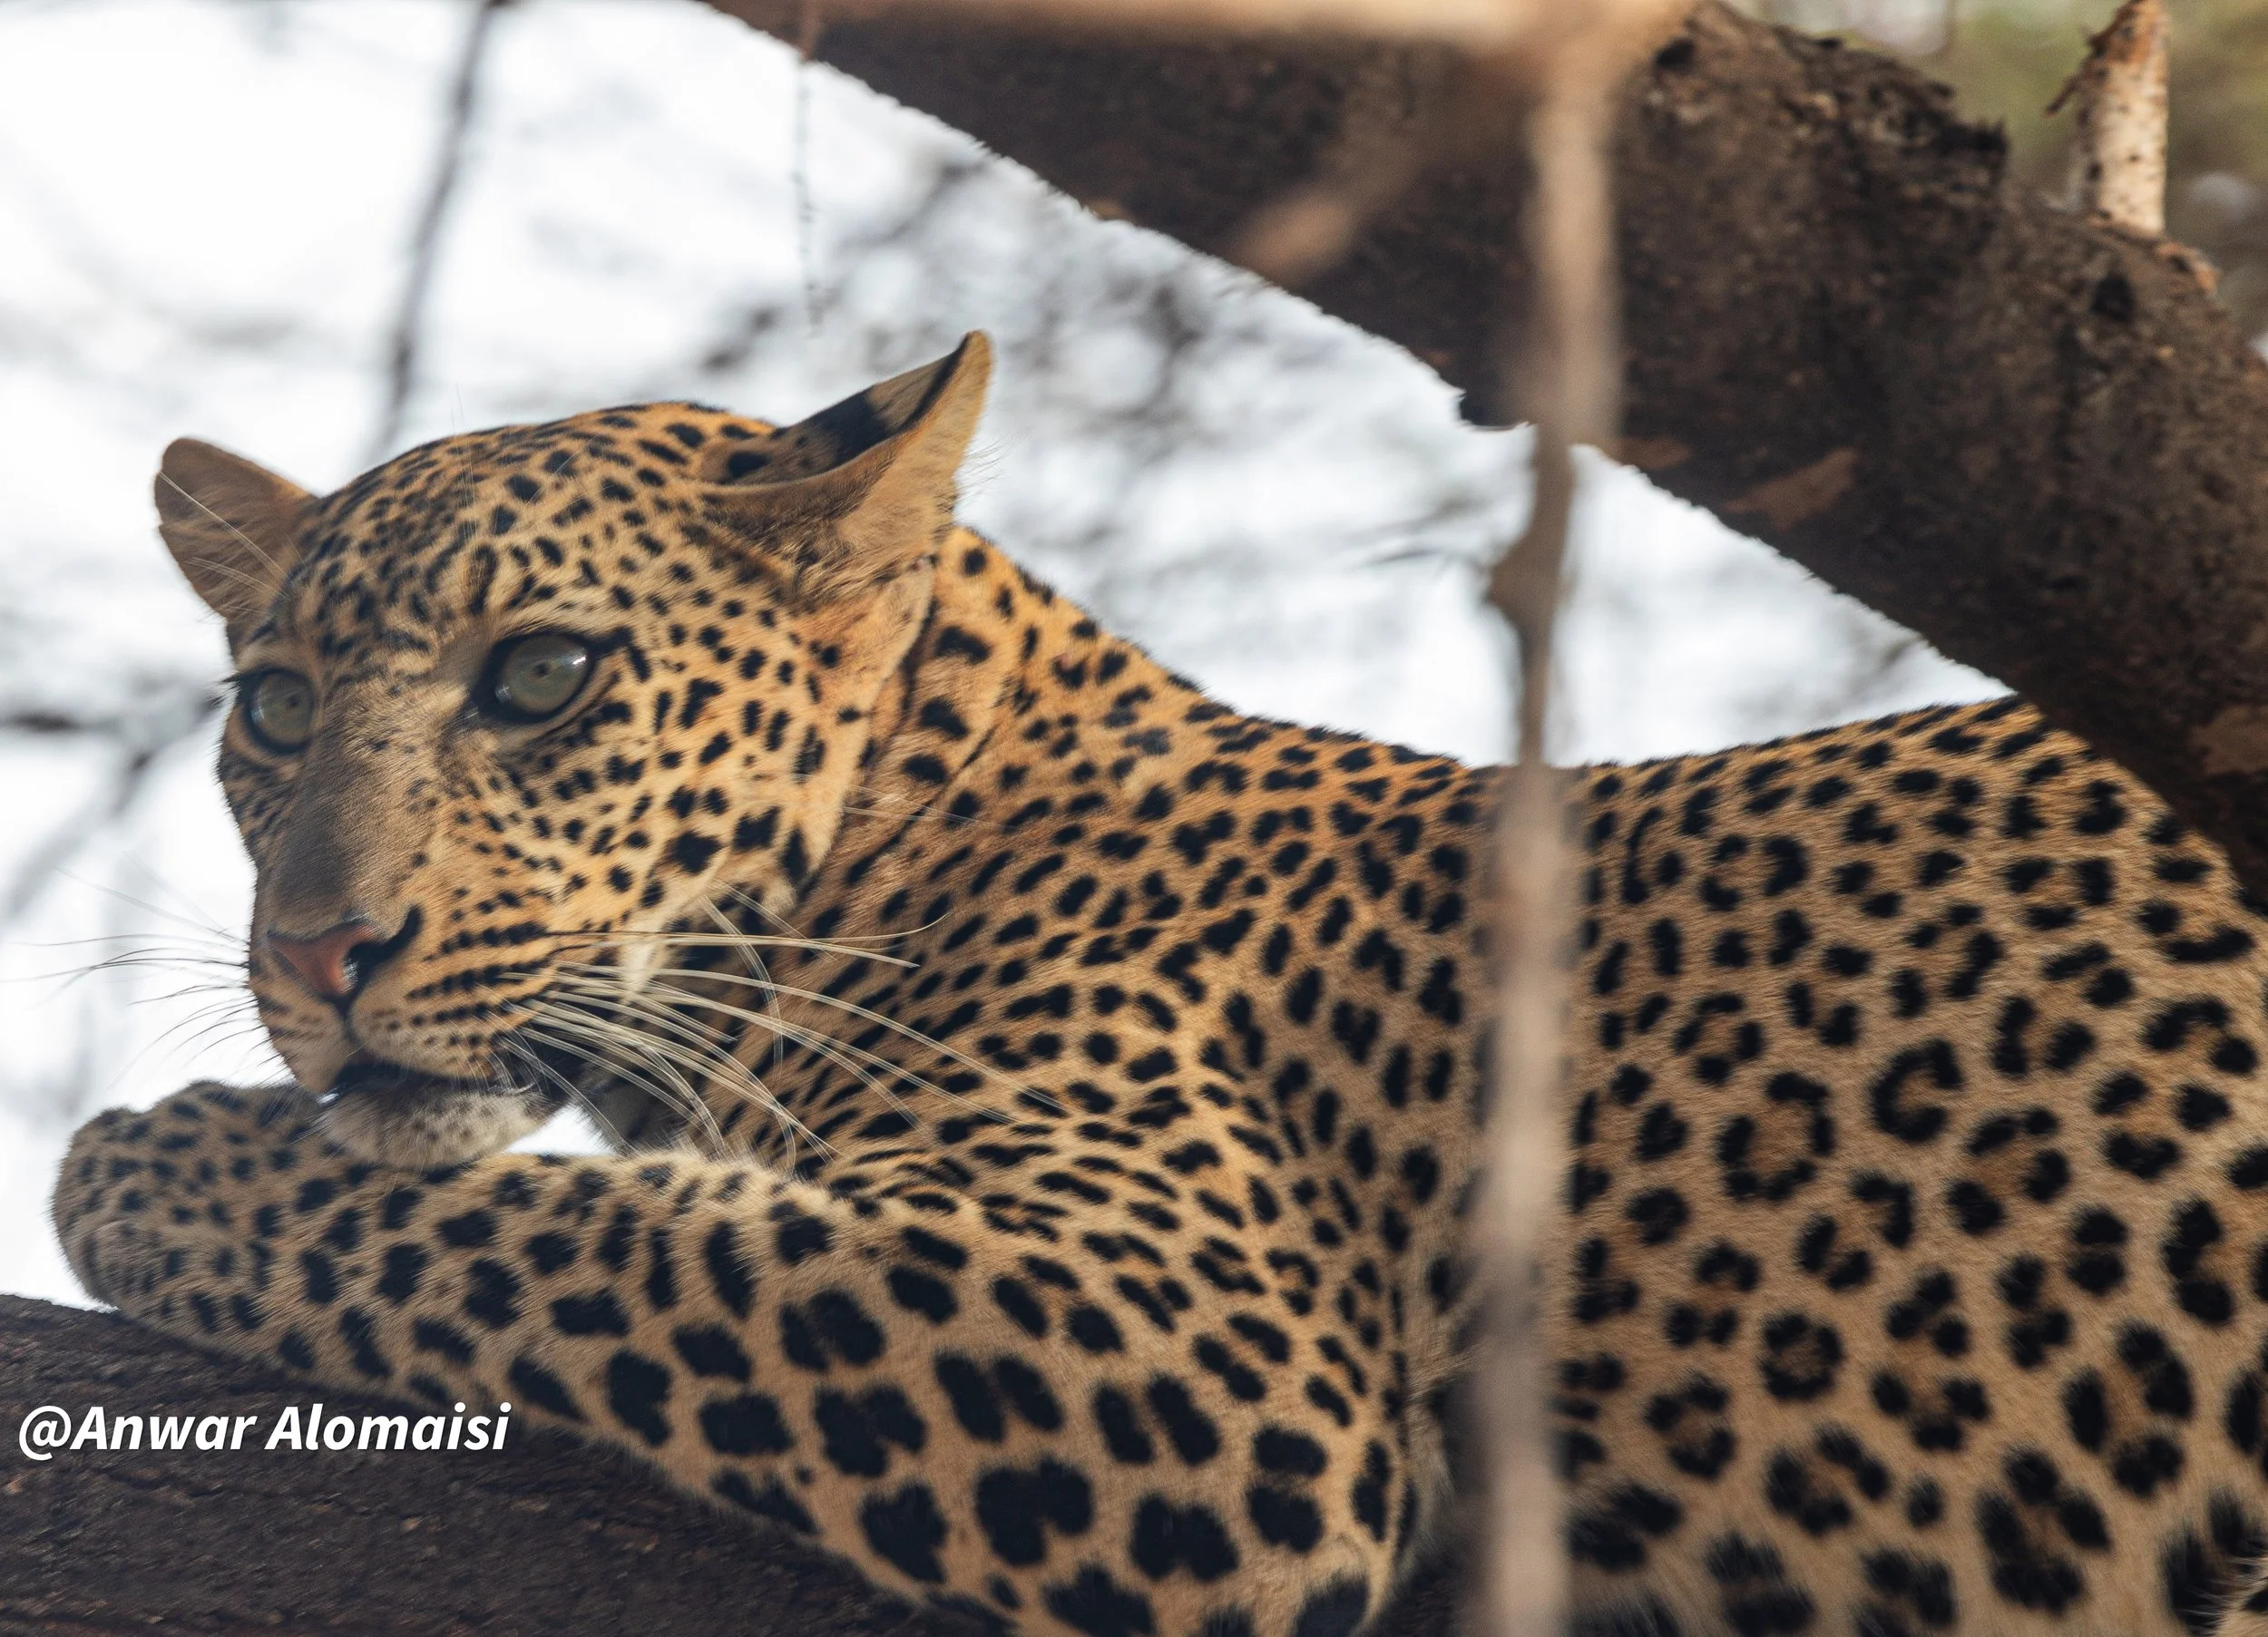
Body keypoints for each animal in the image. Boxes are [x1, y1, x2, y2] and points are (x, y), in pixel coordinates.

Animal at [49, 330, 2268, 1637]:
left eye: (539, 677)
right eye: (273, 708)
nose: (319, 953)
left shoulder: (1197, 1348)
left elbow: (586, 1235)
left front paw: (149, 1162)